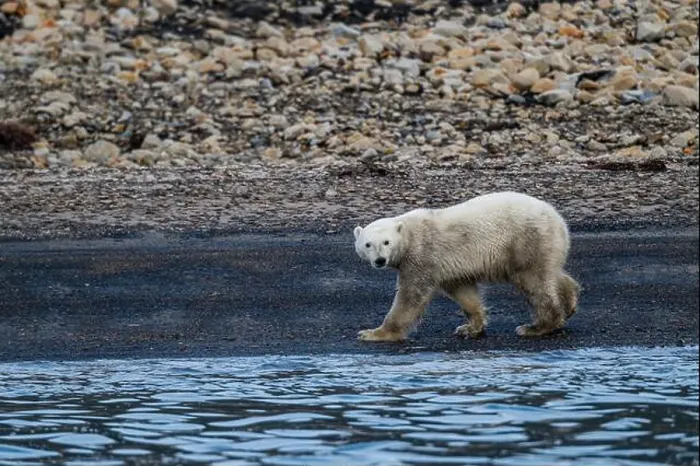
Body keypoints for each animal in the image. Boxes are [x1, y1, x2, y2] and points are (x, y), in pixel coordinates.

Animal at [352, 191, 580, 342]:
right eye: (368, 244)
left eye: (386, 242)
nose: (380, 260)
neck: (409, 233)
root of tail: (558, 218)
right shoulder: (449, 266)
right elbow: (464, 291)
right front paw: (470, 328)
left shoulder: (422, 255)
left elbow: (410, 296)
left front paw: (374, 333)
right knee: (550, 272)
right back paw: (569, 302)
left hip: (527, 239)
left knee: (534, 281)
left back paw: (536, 327)